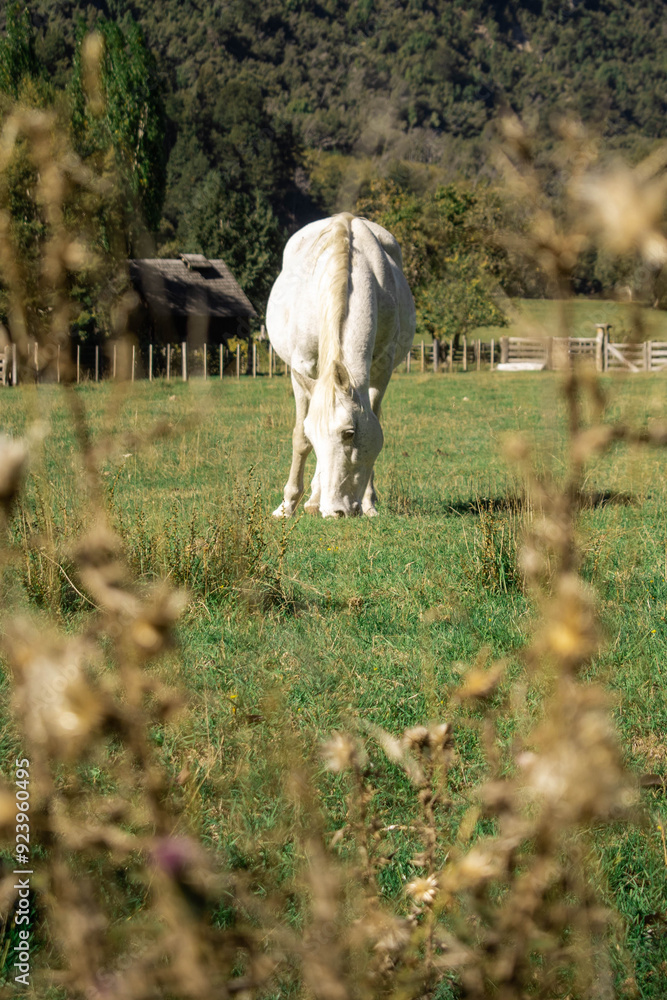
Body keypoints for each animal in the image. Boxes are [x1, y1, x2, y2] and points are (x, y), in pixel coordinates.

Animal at [266, 213, 415, 518]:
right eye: (314, 437)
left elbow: (375, 423)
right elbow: (299, 438)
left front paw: (369, 503)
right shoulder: (301, 370)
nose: (337, 511)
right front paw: (287, 505)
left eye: (349, 433)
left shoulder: (380, 372)